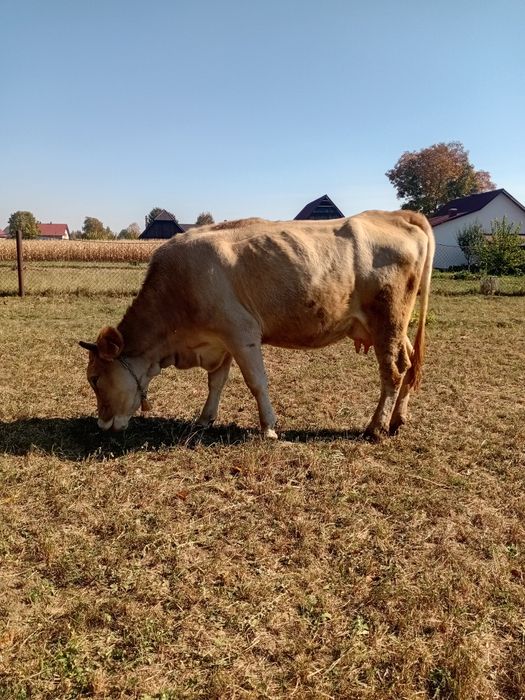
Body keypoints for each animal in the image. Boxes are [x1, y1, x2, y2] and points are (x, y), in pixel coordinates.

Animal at [79, 210, 434, 441]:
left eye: (95, 379)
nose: (101, 425)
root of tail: (394, 215)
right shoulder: (219, 341)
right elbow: (216, 382)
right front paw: (205, 419)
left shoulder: (242, 333)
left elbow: (256, 383)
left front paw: (269, 428)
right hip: (393, 327)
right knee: (408, 363)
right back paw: (397, 420)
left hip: (387, 319)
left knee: (393, 371)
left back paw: (377, 428)